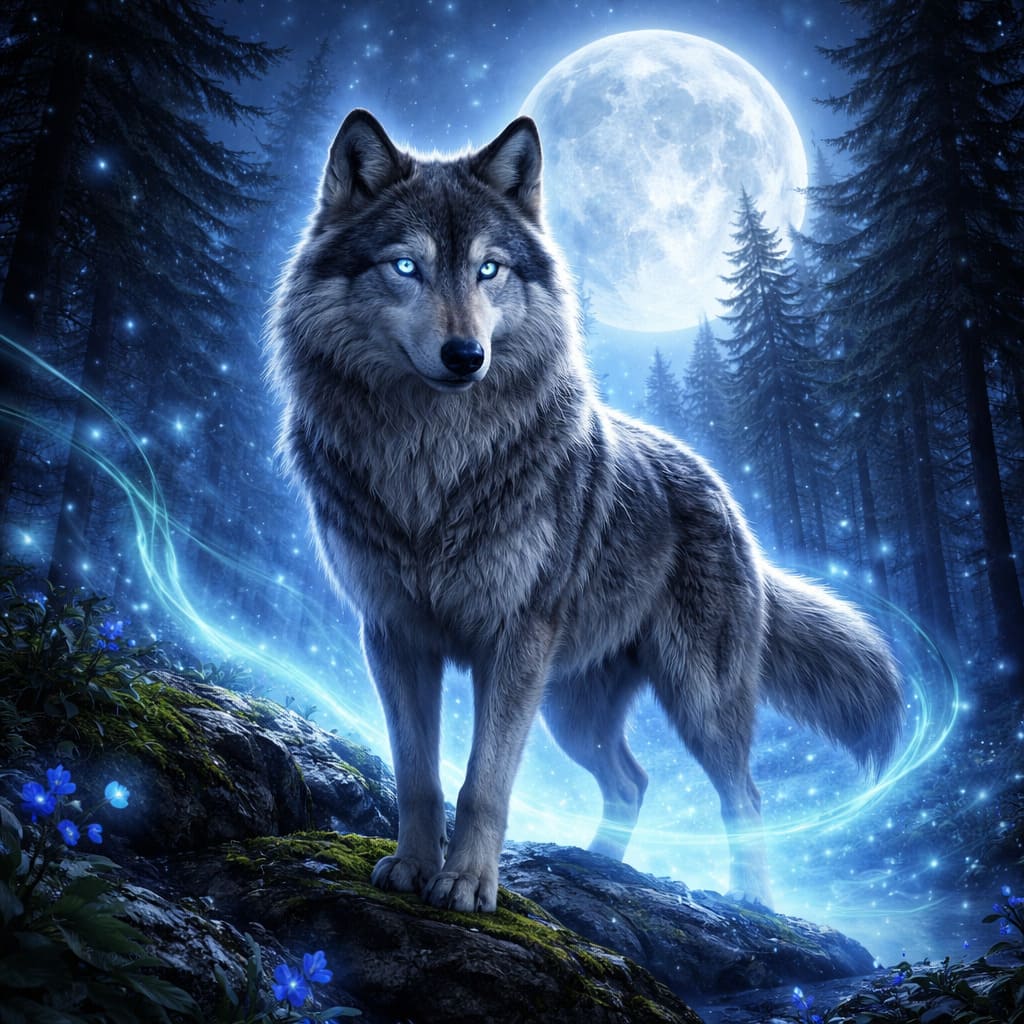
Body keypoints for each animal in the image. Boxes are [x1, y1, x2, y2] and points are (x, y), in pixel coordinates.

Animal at [267, 108, 903, 913]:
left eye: (489, 269)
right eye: (406, 267)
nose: (466, 355)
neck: (431, 467)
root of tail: (724, 492)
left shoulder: (512, 642)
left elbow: (484, 784)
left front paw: (468, 883)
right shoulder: (393, 635)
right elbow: (418, 775)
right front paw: (413, 867)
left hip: (691, 699)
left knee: (743, 796)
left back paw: (751, 902)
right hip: (572, 710)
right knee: (633, 781)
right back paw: (599, 867)